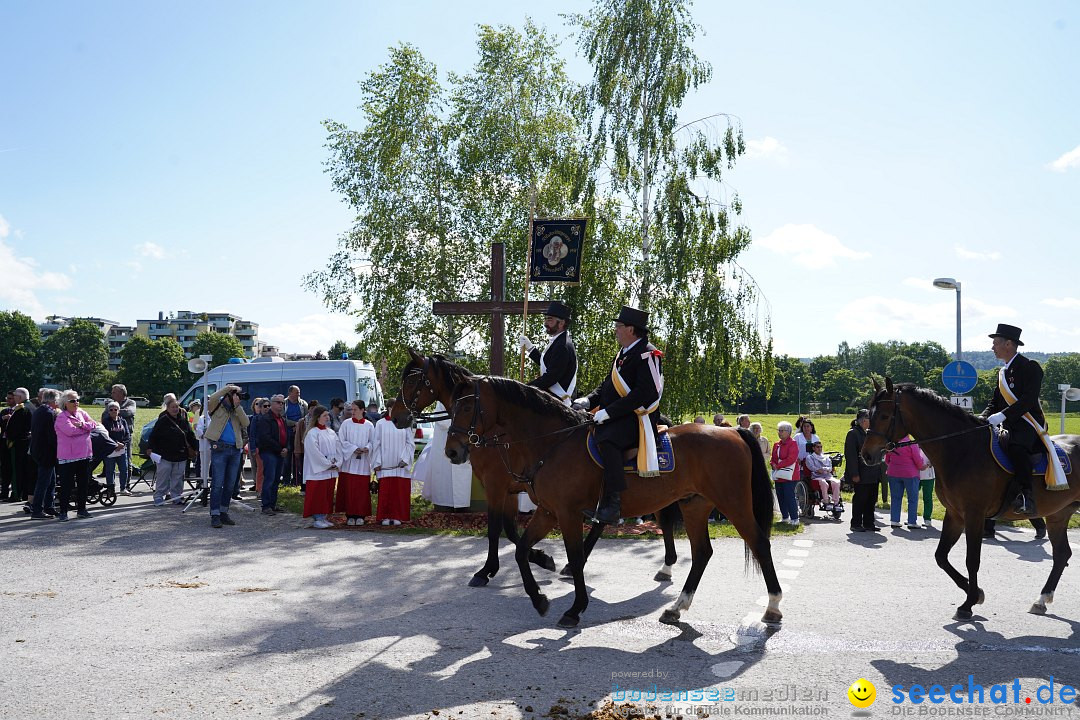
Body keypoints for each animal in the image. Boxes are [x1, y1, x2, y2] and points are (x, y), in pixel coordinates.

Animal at [388, 351, 682, 587]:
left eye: (411, 381)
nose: (396, 417)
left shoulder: (496, 485)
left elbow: (497, 528)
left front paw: (488, 570)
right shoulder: (509, 488)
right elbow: (509, 528)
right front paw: (540, 558)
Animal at [442, 377, 781, 630]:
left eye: (468, 405)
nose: (452, 451)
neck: (553, 442)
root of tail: (733, 431)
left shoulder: (566, 513)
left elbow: (574, 556)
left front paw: (575, 608)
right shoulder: (548, 511)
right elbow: (522, 549)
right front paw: (539, 598)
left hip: (734, 504)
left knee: (759, 543)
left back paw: (773, 606)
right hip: (694, 506)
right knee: (701, 553)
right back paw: (676, 607)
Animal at [859, 379, 1080, 621]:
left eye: (884, 416)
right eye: (870, 413)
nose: (867, 455)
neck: (961, 449)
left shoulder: (975, 514)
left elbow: (972, 559)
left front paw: (968, 603)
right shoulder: (955, 514)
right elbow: (941, 556)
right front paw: (975, 593)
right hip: (1058, 515)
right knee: (1062, 554)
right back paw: (1041, 600)